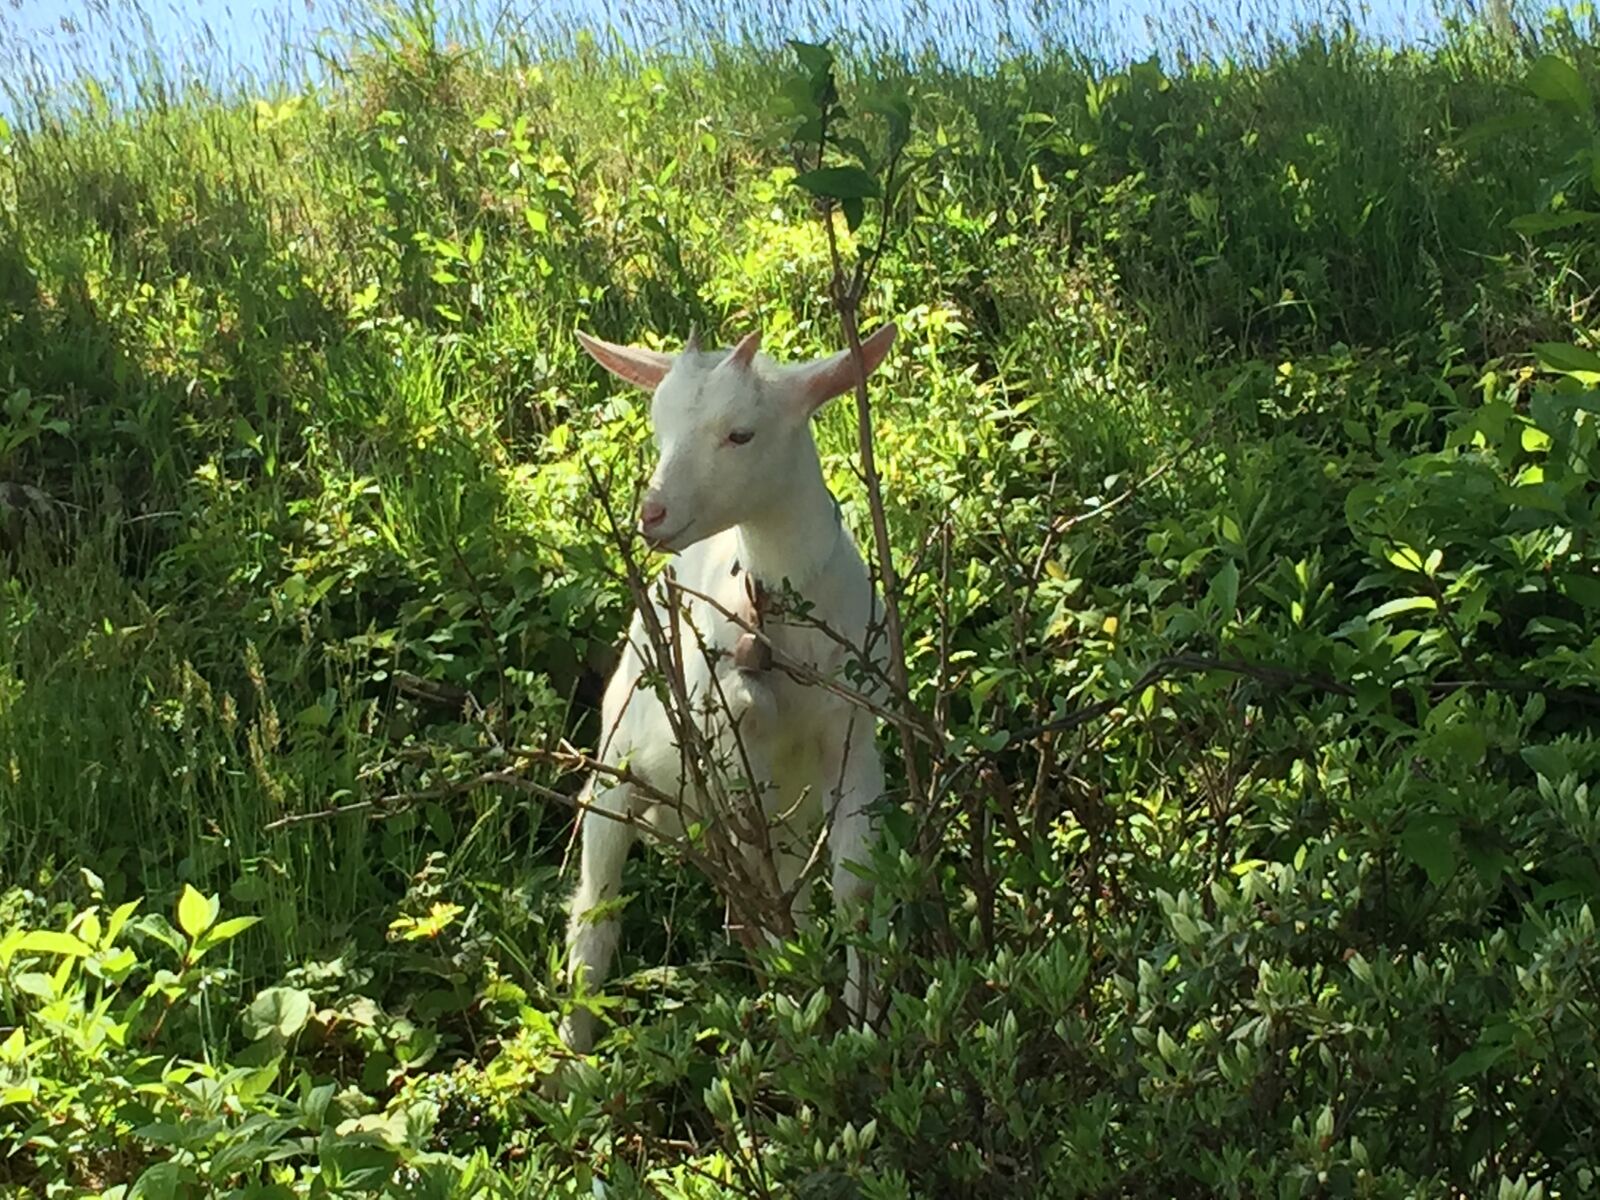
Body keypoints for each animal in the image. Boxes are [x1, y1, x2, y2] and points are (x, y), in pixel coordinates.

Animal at [558, 322, 897, 1054]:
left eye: (740, 434)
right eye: (658, 427)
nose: (652, 514)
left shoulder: (853, 731)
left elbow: (853, 881)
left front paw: (864, 1026)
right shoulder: (731, 744)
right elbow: (765, 887)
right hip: (617, 769)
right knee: (597, 910)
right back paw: (575, 1056)